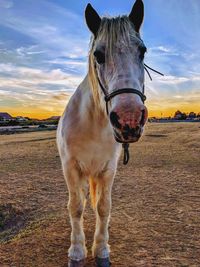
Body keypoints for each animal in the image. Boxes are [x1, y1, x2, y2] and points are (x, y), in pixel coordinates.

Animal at [57, 1, 149, 266]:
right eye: (98, 55)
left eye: (142, 51)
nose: (129, 118)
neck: (94, 124)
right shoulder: (71, 168)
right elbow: (76, 207)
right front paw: (77, 251)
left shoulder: (108, 169)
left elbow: (103, 207)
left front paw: (101, 249)